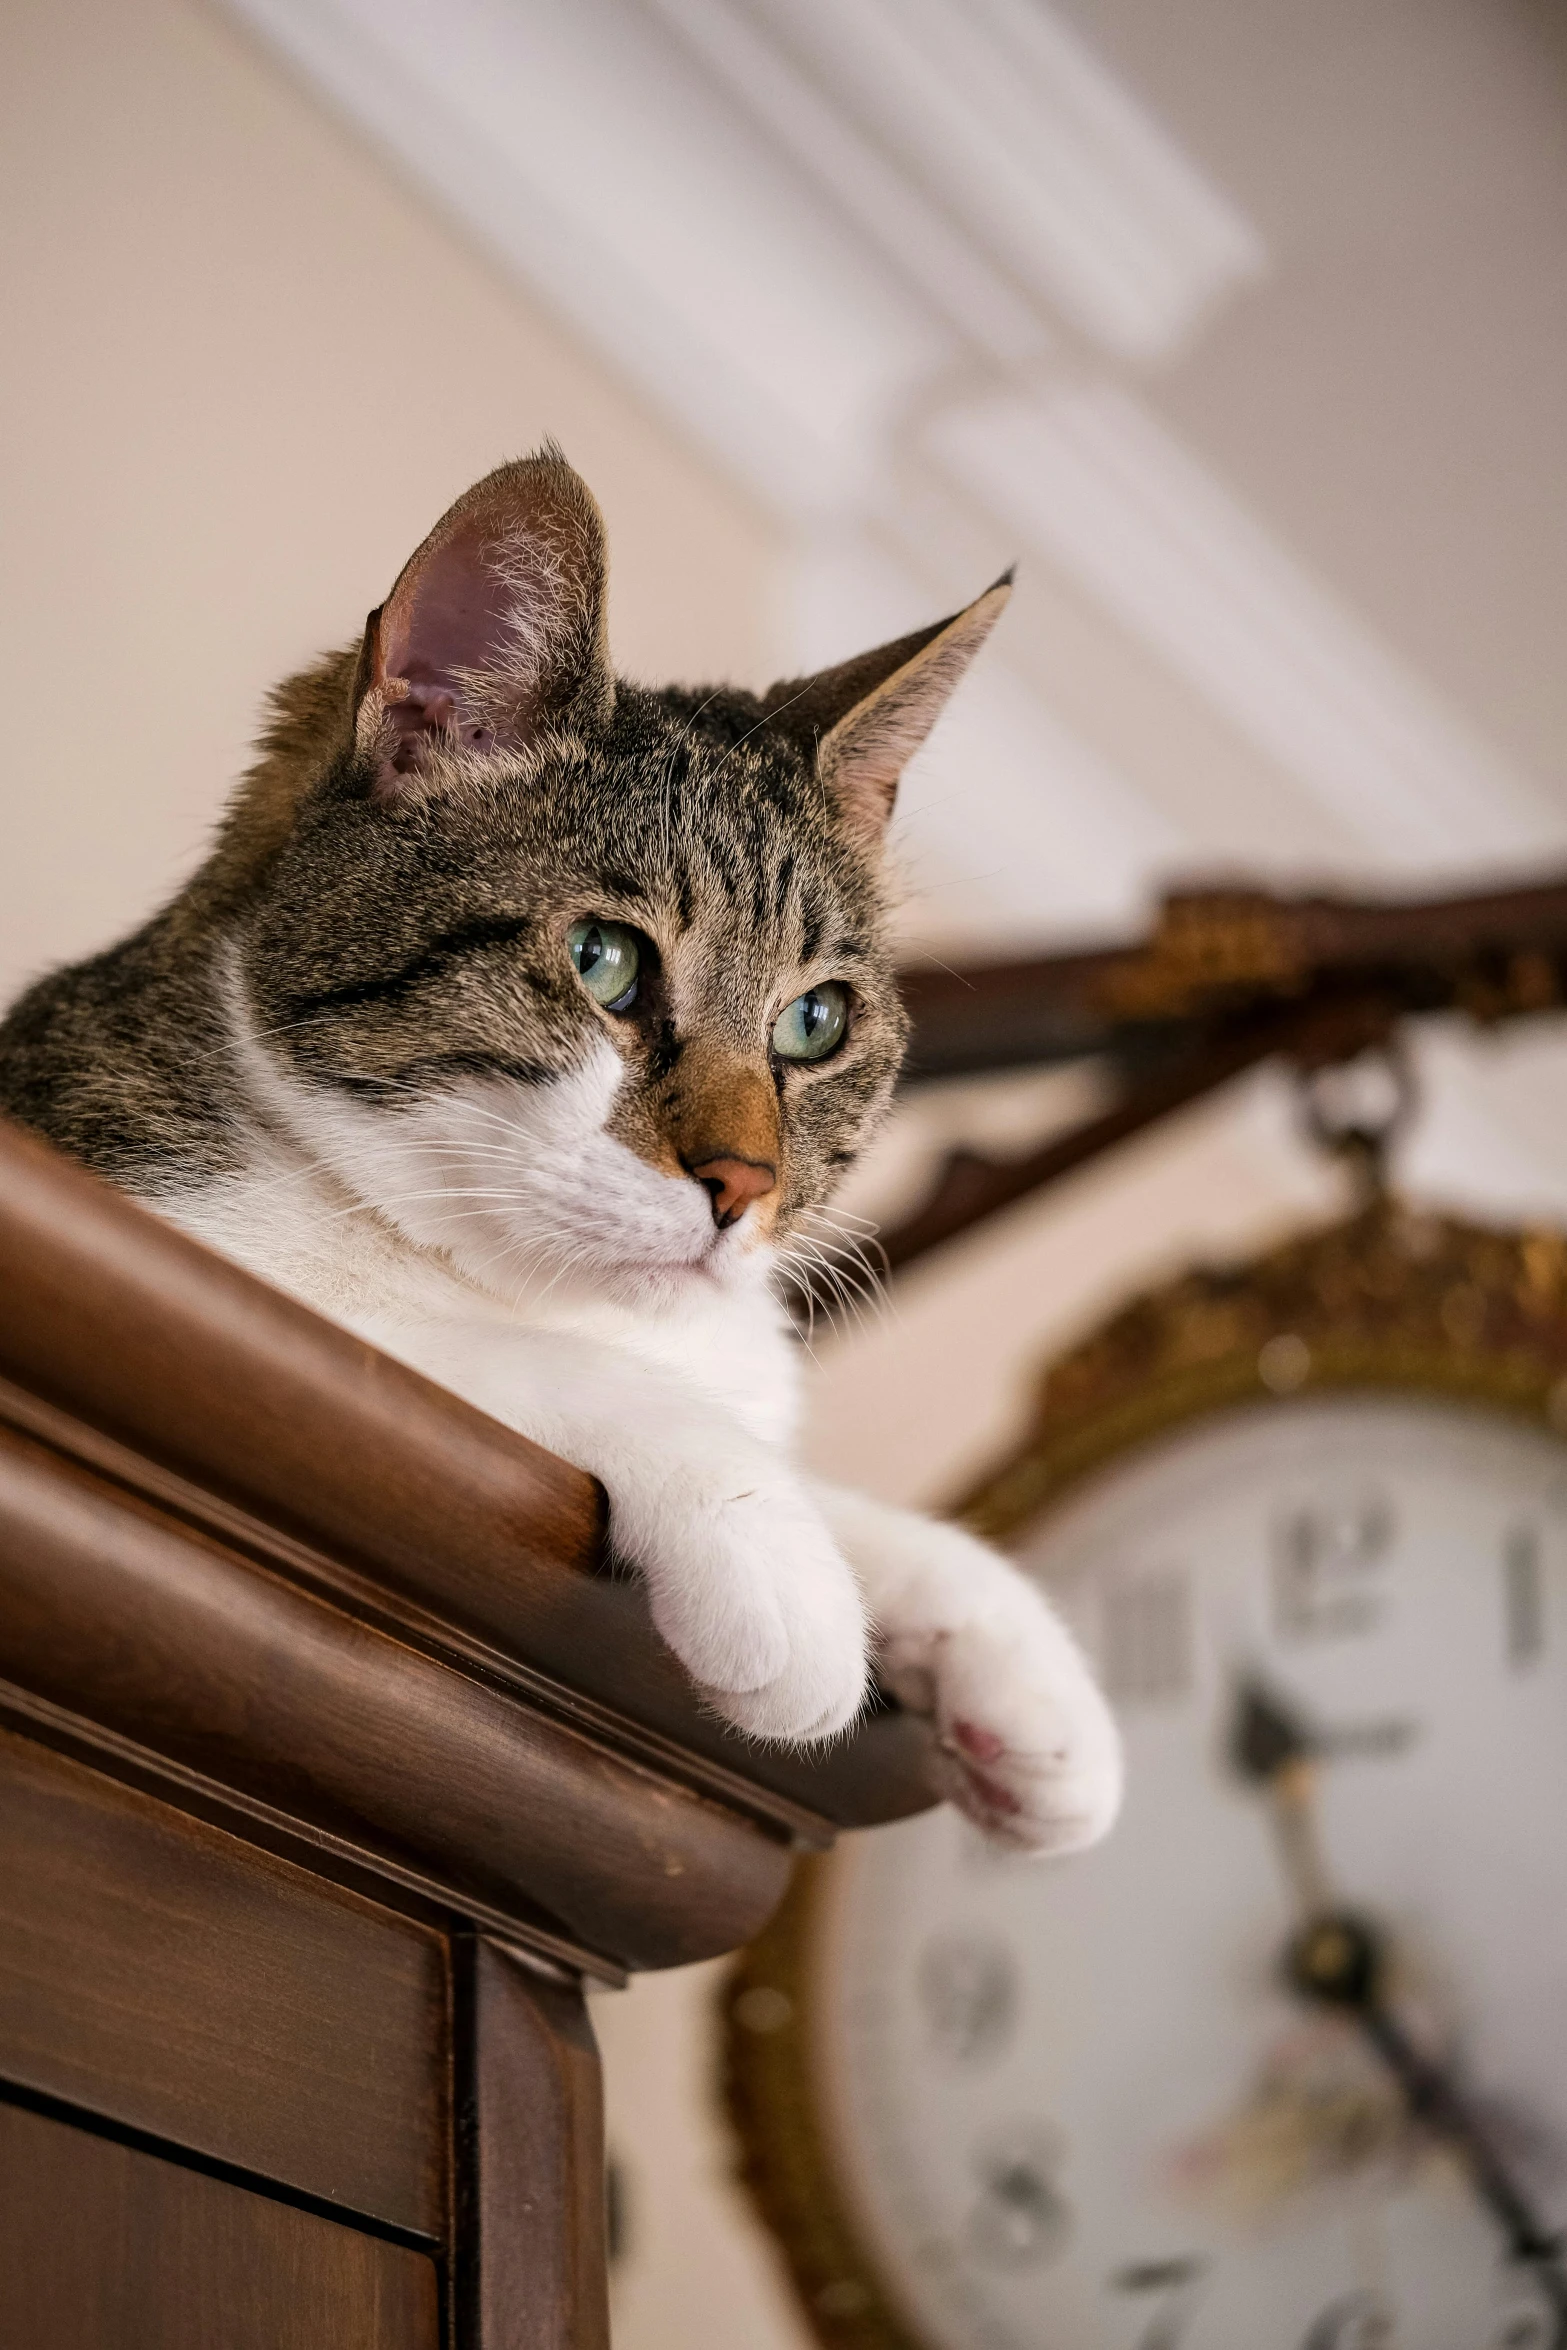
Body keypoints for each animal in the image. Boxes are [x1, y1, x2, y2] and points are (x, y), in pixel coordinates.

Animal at [3, 453, 1127, 1851]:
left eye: (815, 1022)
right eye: (603, 961)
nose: (745, 1185)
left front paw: (1010, 1659)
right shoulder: (166, 1253)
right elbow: (469, 1357)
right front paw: (777, 1558)